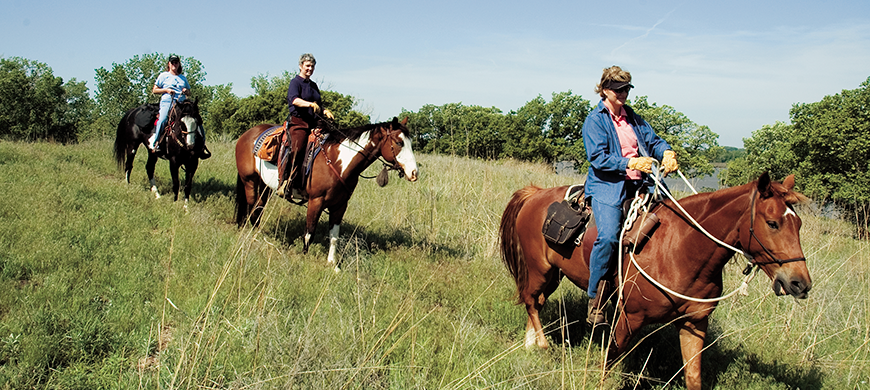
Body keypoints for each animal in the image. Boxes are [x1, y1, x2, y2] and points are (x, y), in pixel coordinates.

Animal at [235, 117, 418, 266]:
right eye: (399, 143)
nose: (414, 173)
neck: (337, 162)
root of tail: (247, 134)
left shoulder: (340, 205)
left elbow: (334, 236)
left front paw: (332, 263)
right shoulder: (315, 201)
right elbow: (309, 232)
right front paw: (304, 257)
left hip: (264, 185)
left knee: (259, 206)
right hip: (249, 180)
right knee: (252, 205)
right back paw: (253, 235)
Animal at [500, 174, 816, 390]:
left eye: (799, 224)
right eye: (772, 223)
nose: (800, 283)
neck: (680, 249)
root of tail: (536, 194)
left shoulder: (695, 323)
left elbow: (693, 376)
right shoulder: (629, 318)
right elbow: (610, 361)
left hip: (554, 273)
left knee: (537, 301)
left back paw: (530, 343)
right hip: (539, 268)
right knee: (530, 300)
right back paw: (542, 344)